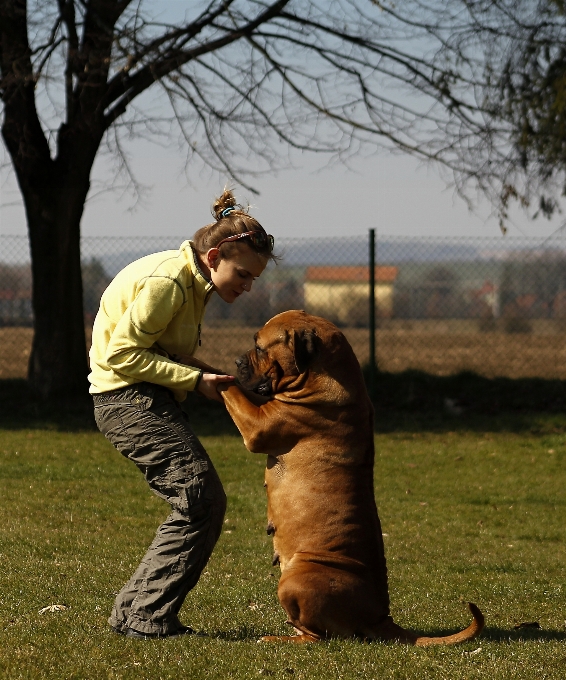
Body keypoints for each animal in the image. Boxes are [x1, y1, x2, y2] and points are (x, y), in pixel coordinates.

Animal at [220, 310, 486, 644]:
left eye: (259, 346)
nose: (236, 361)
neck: (321, 373)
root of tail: (379, 615)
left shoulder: (257, 424)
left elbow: (231, 389)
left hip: (295, 579)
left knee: (318, 636)